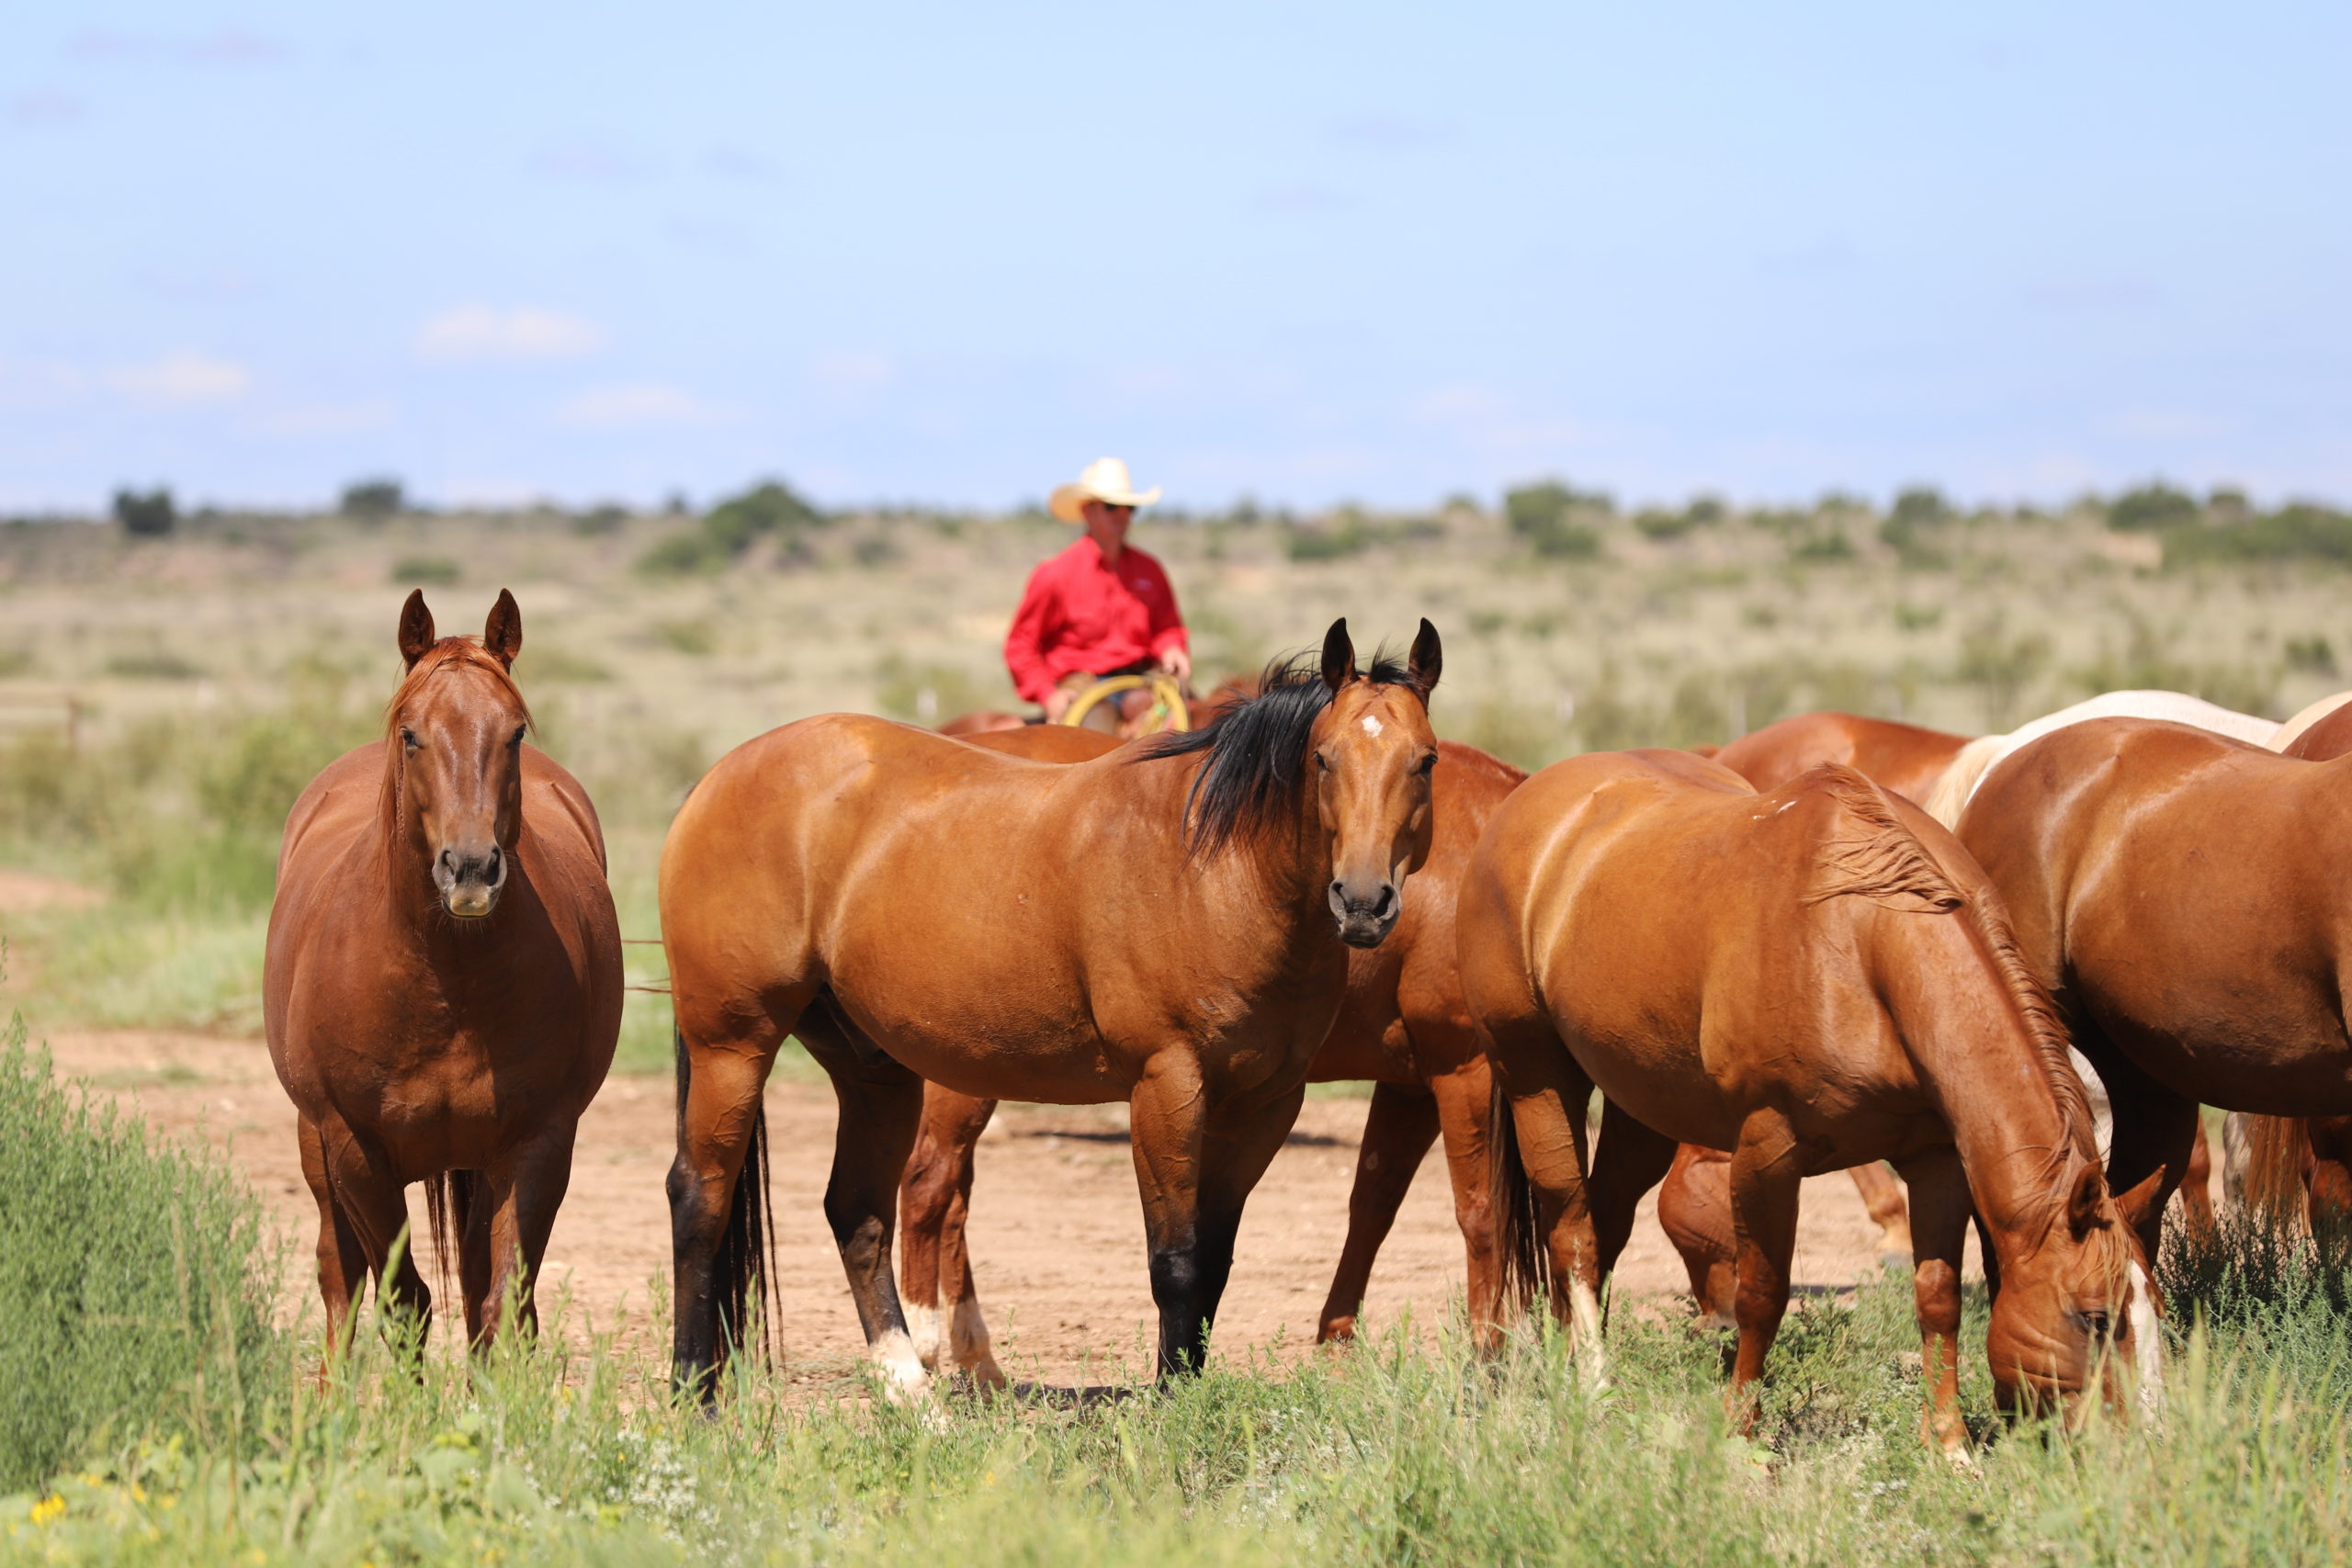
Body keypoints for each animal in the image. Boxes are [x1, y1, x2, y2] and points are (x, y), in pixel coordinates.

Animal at [264, 590, 622, 1353]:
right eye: (411, 734)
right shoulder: (356, 1149)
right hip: (316, 1148)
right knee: (340, 1284)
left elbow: (503, 1304)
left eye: (515, 733)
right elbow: (404, 1301)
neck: (446, 982)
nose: (473, 868)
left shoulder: (537, 1144)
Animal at [659, 620, 1442, 1396]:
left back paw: (913, 1392)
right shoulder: (1166, 1088)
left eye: (1426, 760)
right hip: (733, 1045)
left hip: (872, 1068)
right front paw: (1172, 1402)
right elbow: (1176, 1260)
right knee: (700, 1194)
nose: (1363, 902)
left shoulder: (1265, 1104)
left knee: (858, 1210)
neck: (1214, 868)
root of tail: (720, 775)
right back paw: (693, 1388)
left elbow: (1216, 1259)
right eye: (1323, 757)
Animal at [895, 727, 1526, 1383]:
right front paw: (1490, 1358)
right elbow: (1484, 1214)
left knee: (953, 1198)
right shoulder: (1463, 1071)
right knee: (928, 1186)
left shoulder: (1409, 1086)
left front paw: (1338, 1340)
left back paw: (977, 1359)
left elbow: (1373, 1205)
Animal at [1464, 752, 2157, 1450]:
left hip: (1642, 1108)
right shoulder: (1765, 1156)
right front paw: (1740, 1433)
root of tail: (1526, 802)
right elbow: (1762, 1297)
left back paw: (1570, 1364)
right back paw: (1594, 1386)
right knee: (1572, 1231)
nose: (2141, 1443)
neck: (1858, 942)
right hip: (1536, 1077)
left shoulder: (1937, 1160)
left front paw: (1948, 1445)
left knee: (1605, 1225)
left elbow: (1939, 1297)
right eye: (2096, 1317)